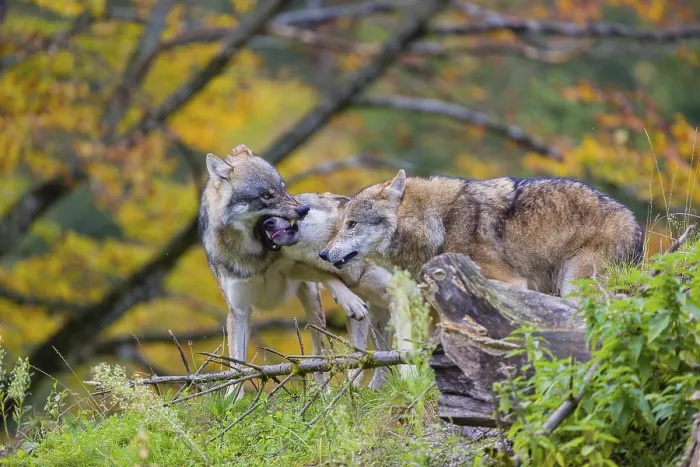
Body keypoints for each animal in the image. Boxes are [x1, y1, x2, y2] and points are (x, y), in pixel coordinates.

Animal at [261, 192, 414, 388]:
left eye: (296, 205)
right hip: (377, 316)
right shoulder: (361, 309)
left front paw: (411, 376)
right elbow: (358, 354)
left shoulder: (397, 294)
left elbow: (405, 342)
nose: (267, 223)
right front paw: (351, 388)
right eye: (267, 213)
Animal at [320, 170, 643, 298]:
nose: (323, 253)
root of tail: (636, 225)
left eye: (352, 224)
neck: (439, 224)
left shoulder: (512, 282)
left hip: (576, 284)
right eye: (342, 223)